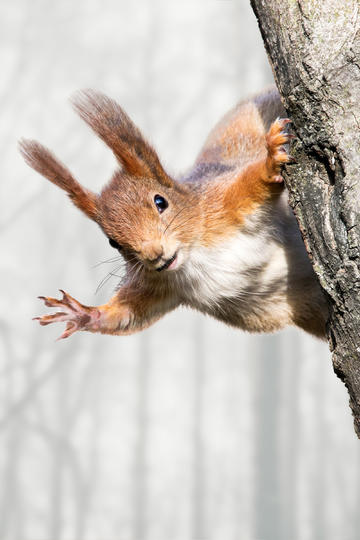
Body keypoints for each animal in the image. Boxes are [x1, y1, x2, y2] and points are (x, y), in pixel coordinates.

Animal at [19, 88, 330, 342]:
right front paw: (82, 313)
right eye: (112, 242)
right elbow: (127, 314)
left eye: (161, 202)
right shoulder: (158, 285)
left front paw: (270, 160)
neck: (194, 256)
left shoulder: (222, 204)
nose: (154, 255)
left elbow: (252, 183)